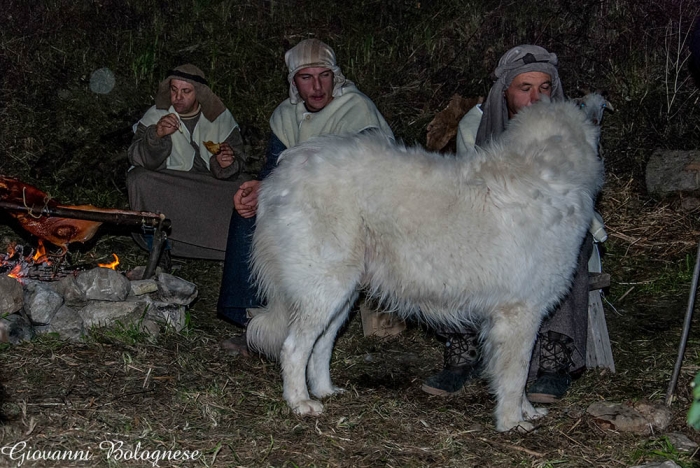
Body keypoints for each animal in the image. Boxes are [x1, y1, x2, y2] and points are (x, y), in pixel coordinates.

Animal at [246, 100, 600, 434]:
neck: (545, 171)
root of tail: (283, 173)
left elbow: (517, 375)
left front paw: (526, 410)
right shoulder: (519, 313)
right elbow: (516, 374)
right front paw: (512, 422)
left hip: (340, 292)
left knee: (321, 344)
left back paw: (325, 390)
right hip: (324, 285)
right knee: (293, 347)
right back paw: (300, 402)